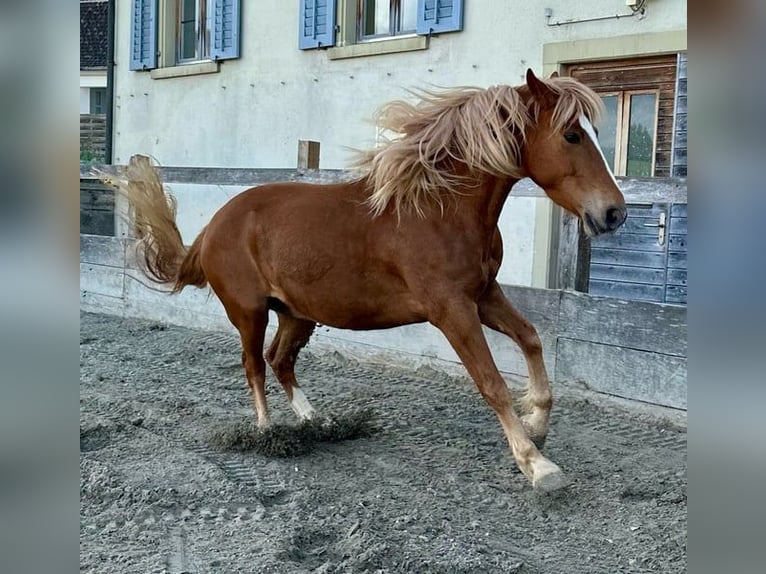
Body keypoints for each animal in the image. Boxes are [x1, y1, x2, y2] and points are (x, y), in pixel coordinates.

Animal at [115, 70, 632, 492]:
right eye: (571, 134)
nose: (613, 213)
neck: (439, 209)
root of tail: (212, 226)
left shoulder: (483, 294)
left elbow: (531, 338)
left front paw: (538, 423)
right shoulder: (451, 309)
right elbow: (491, 381)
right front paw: (538, 465)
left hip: (298, 314)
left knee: (280, 361)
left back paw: (319, 422)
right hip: (250, 312)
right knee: (254, 365)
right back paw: (266, 431)